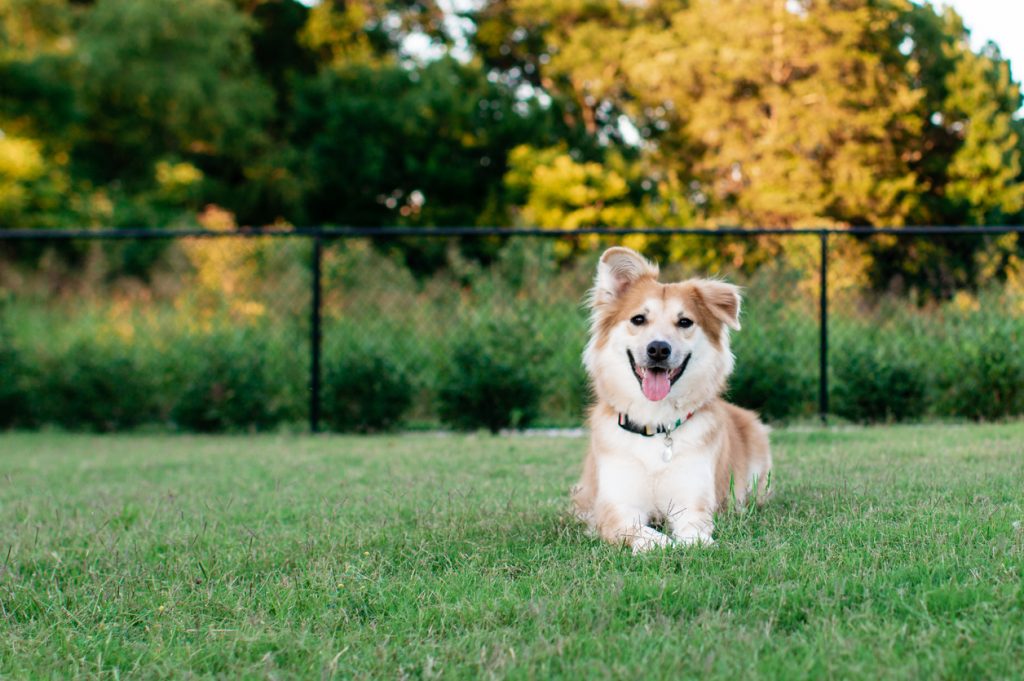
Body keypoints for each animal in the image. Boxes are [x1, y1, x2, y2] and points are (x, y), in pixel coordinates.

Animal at [573, 246, 770, 548]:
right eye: (638, 319)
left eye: (685, 322)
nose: (658, 349)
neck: (655, 424)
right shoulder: (616, 508)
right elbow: (643, 532)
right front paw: (661, 544)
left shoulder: (692, 501)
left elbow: (694, 533)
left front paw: (692, 544)